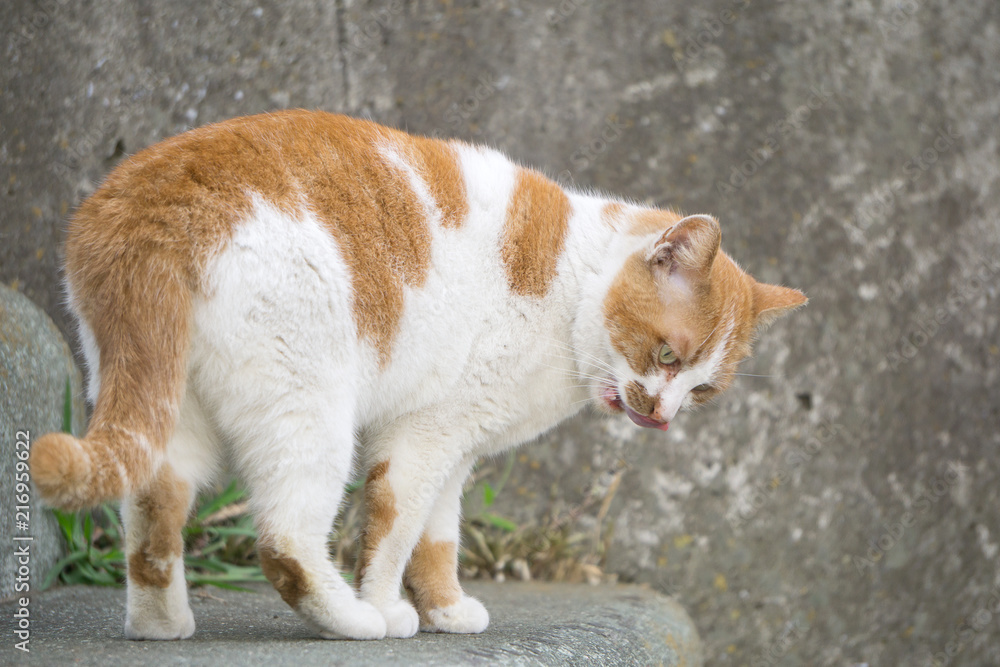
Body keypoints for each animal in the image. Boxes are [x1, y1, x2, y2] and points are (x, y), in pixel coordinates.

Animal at [31, 109, 808, 640]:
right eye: (667, 355)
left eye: (703, 389)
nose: (663, 415)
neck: (573, 283)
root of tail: (151, 202)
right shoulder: (420, 437)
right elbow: (395, 529)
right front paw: (388, 606)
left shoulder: (454, 444)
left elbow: (438, 536)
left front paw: (444, 608)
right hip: (310, 407)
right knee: (283, 539)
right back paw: (351, 619)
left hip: (170, 405)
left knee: (152, 510)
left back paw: (160, 625)